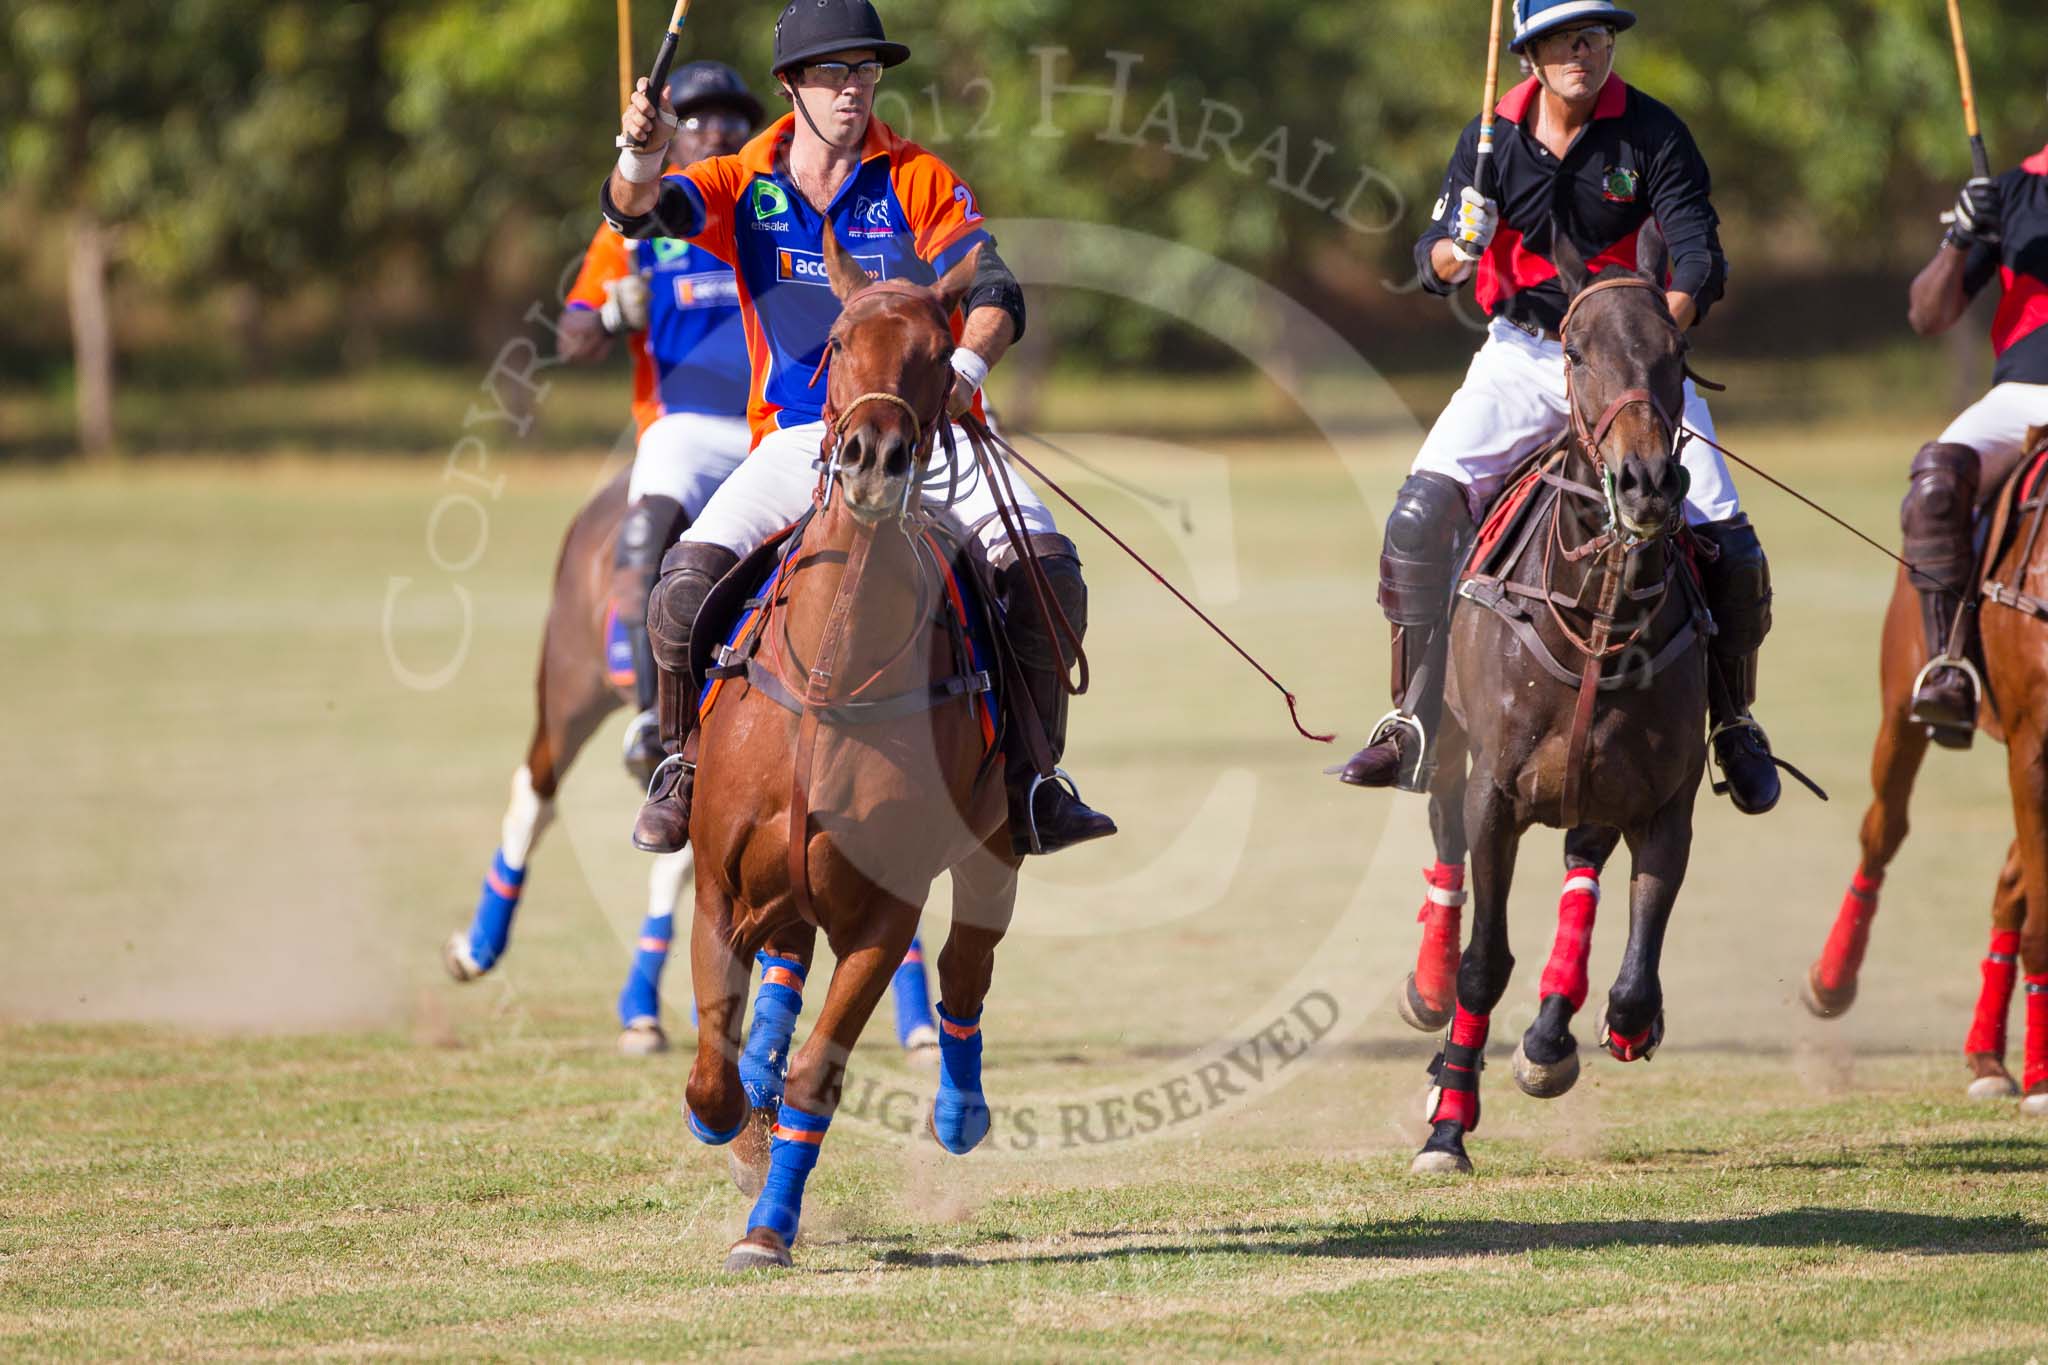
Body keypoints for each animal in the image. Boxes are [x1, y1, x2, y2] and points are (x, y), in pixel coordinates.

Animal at [675, 232, 1024, 1268]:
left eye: (939, 352)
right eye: (836, 341)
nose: (874, 458)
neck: (833, 672)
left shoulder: (883, 913)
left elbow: (816, 1079)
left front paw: (768, 1227)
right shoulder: (719, 886)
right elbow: (713, 1070)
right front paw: (735, 1126)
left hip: (995, 845)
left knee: (966, 966)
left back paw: (959, 1111)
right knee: (783, 973)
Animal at [1409, 224, 1712, 1178]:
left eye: (1678, 350)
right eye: (1574, 351)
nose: (1647, 483)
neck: (1597, 612)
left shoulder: (1666, 803)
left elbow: (1635, 976)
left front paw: (1598, 1031)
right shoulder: (1495, 794)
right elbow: (1483, 961)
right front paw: (1448, 1125)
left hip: (1596, 791)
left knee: (1583, 868)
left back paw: (1549, 1036)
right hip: (1448, 752)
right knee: (1444, 854)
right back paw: (1430, 999)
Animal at [1810, 429, 2048, 1121]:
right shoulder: (2032, 746)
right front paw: (2043, 1081)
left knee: (2007, 885)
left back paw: (1988, 1056)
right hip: (1902, 702)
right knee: (1883, 830)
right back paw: (1831, 980)